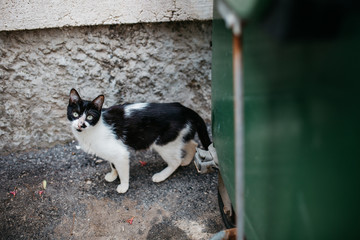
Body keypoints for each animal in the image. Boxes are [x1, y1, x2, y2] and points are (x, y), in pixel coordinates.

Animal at [67, 89, 211, 194]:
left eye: (90, 117)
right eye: (75, 114)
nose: (80, 124)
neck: (93, 129)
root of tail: (185, 109)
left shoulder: (121, 153)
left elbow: (122, 169)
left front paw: (123, 186)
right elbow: (112, 164)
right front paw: (113, 175)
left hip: (164, 143)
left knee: (176, 161)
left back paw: (161, 175)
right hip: (176, 136)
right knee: (193, 144)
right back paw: (186, 160)